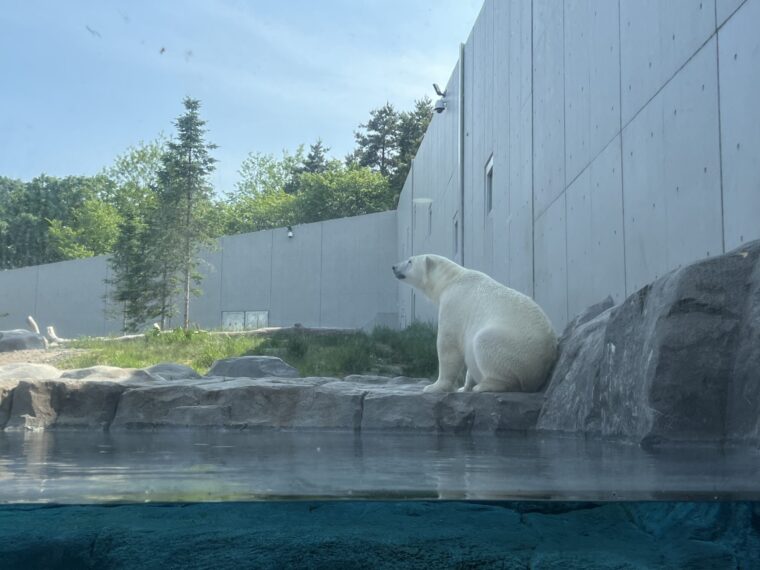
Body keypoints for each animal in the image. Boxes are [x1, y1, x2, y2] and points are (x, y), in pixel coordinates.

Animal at [392, 255, 560, 392]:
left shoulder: (453, 304)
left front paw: (434, 387)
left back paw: (486, 385)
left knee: (484, 342)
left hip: (517, 350)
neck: (450, 280)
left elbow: (448, 345)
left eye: (410, 261)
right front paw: (463, 387)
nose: (394, 267)